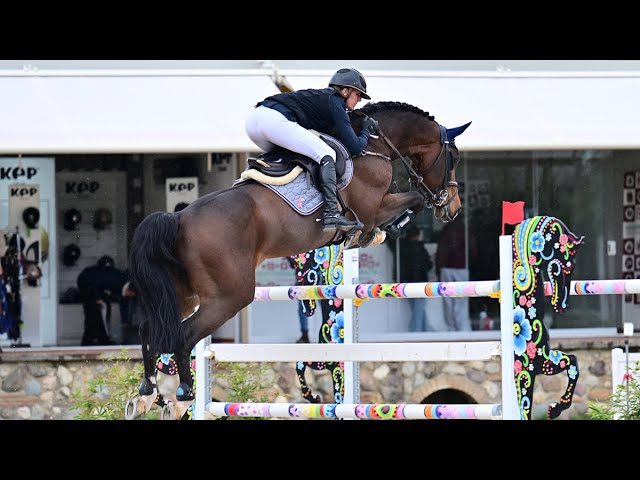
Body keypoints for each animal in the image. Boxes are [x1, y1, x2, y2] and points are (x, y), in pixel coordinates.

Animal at [125, 101, 471, 419]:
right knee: (183, 335)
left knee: (149, 327)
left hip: (185, 294)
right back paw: (182, 396)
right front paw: (380, 231)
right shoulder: (374, 209)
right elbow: (412, 201)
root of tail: (178, 218)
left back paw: (146, 394)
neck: (373, 146)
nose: (452, 208)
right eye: (454, 158)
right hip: (229, 296)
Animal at [511, 215, 585, 420]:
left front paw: (555, 408)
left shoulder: (546, 361)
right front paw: (555, 408)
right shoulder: (531, 370)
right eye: (569, 265)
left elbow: (573, 362)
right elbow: (525, 409)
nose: (563, 306)